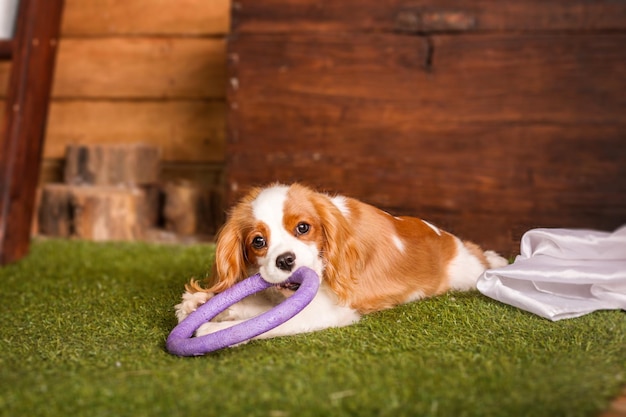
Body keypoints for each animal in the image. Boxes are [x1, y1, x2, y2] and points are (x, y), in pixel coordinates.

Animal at [173, 184, 504, 342]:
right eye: (258, 241)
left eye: (303, 228)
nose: (286, 260)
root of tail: (449, 239)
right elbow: (259, 307)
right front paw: (201, 303)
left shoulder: (328, 311)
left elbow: (267, 323)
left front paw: (211, 331)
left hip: (466, 273)